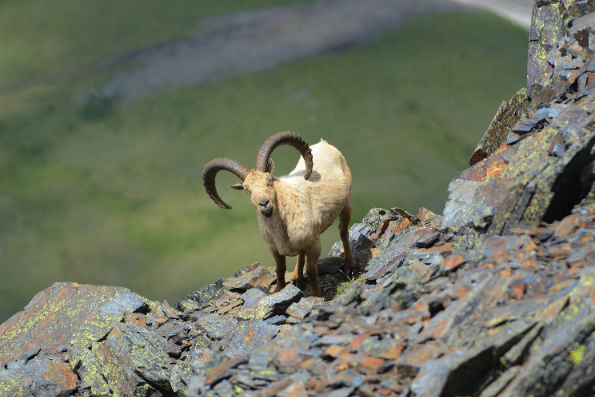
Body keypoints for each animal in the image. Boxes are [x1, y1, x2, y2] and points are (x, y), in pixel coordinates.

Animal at [203, 131, 356, 296]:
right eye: (247, 189)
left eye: (269, 181)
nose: (264, 203)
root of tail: (324, 144)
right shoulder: (274, 248)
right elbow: (280, 269)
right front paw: (279, 289)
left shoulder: (314, 244)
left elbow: (311, 271)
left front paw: (316, 294)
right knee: (301, 253)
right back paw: (297, 277)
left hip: (346, 203)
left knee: (343, 232)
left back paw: (350, 266)